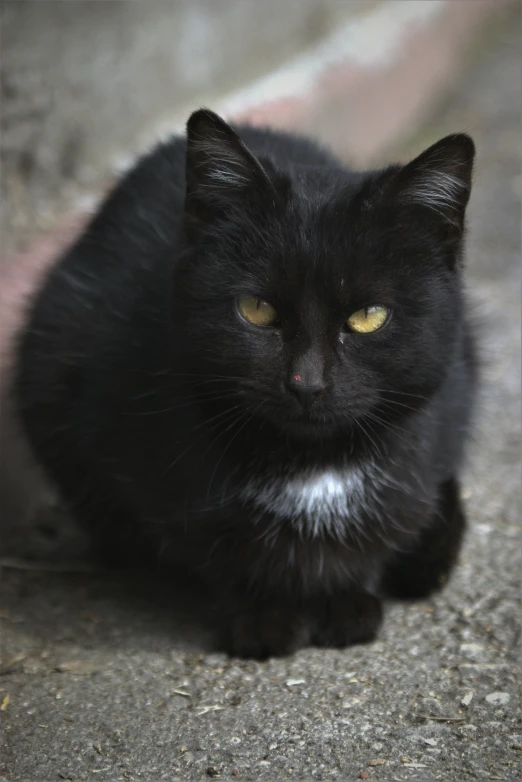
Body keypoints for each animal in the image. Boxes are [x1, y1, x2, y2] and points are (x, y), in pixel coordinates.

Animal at [13, 110, 476, 660]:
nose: (306, 383)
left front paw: (344, 599)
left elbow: (379, 533)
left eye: (368, 316)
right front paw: (263, 616)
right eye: (256, 310)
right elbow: (223, 555)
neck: (312, 467)